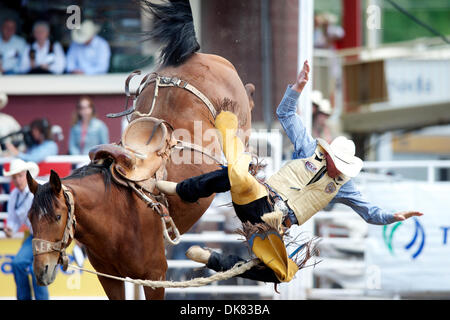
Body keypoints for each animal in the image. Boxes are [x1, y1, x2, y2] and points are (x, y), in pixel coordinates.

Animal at [26, 0, 255, 300]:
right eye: (30, 218)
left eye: (56, 216)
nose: (41, 271)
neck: (114, 210)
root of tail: (191, 57)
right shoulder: (109, 278)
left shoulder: (155, 275)